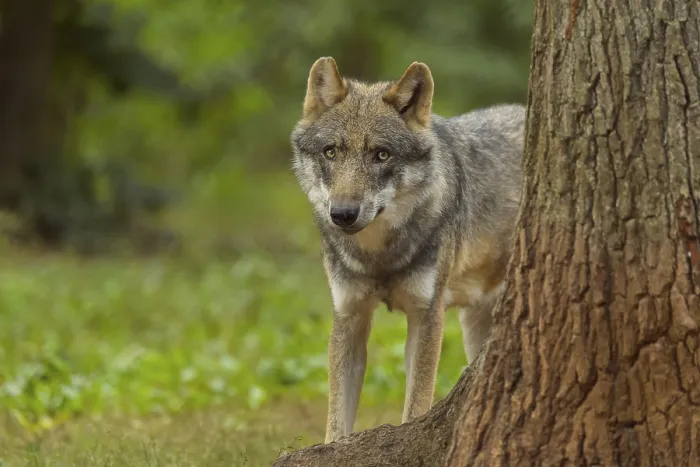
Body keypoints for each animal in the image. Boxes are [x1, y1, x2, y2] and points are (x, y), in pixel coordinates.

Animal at [290, 56, 526, 443]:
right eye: (331, 152)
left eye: (381, 154)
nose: (342, 214)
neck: (378, 256)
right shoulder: (349, 316)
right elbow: (336, 420)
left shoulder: (427, 316)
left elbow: (416, 404)